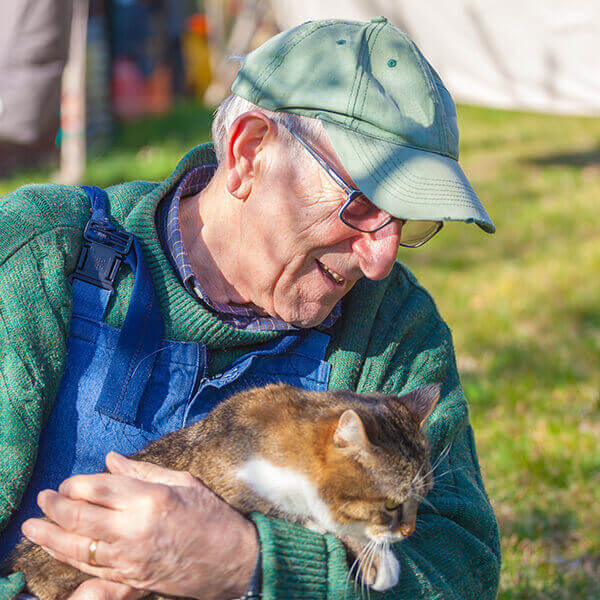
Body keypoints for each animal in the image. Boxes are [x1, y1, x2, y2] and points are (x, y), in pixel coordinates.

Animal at [2, 382, 438, 596]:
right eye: (392, 505)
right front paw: (376, 559)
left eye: (422, 500)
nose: (411, 530)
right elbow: (299, 517)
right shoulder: (225, 483)